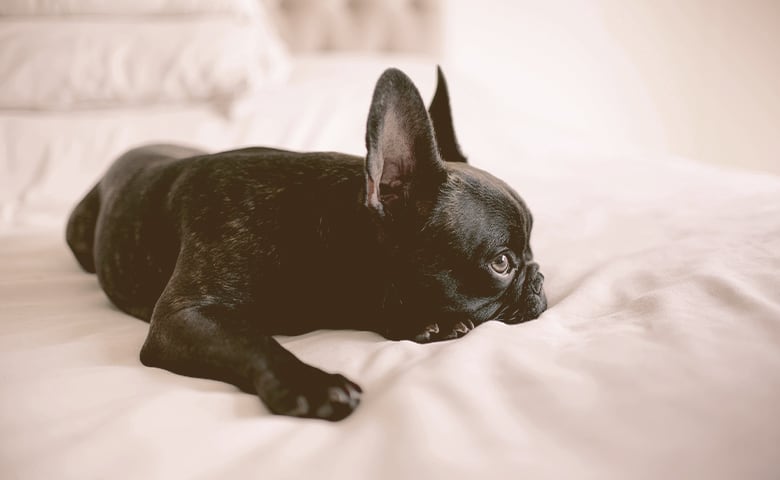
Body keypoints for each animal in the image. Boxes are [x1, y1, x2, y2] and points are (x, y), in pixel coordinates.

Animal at [67, 66, 544, 420]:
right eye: (502, 263)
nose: (538, 276)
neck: (318, 232)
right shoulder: (182, 316)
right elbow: (252, 340)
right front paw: (312, 384)